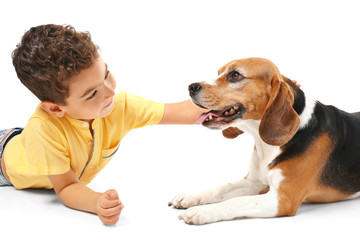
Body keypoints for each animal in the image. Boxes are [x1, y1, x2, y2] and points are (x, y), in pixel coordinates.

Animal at [167, 57, 360, 224]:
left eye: (235, 75)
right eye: (219, 73)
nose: (191, 87)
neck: (265, 144)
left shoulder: (283, 199)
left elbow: (236, 201)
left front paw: (201, 212)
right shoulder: (254, 182)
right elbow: (220, 188)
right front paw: (190, 197)